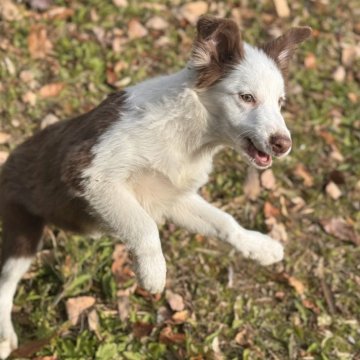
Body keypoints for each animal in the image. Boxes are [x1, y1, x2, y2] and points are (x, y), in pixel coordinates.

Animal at [0, 16, 310, 358]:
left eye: (280, 103)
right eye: (246, 97)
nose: (284, 144)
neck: (191, 132)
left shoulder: (172, 197)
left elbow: (224, 222)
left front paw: (259, 246)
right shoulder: (89, 171)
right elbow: (144, 226)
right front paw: (153, 273)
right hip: (22, 229)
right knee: (6, 282)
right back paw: (6, 337)